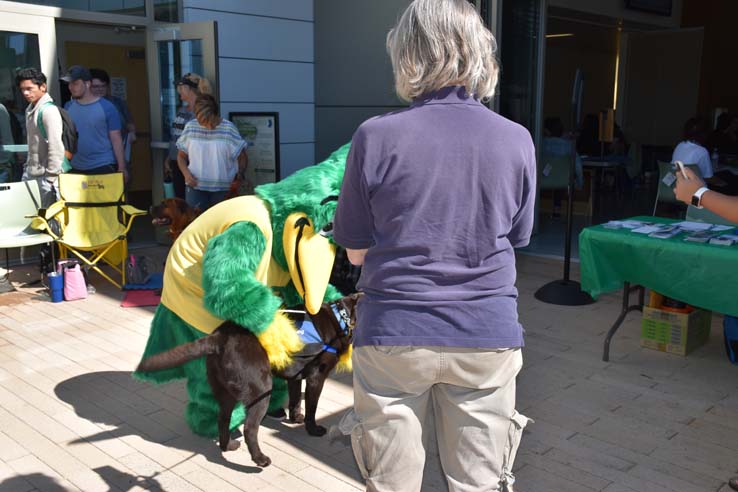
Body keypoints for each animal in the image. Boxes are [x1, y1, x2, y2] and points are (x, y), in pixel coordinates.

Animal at [137, 294, 360, 468]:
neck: (339, 318)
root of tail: (220, 337)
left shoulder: (295, 376)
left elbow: (296, 399)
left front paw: (295, 417)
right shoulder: (316, 377)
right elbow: (312, 408)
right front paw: (313, 429)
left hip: (225, 391)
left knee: (223, 418)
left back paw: (228, 446)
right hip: (261, 390)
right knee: (249, 429)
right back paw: (259, 459)